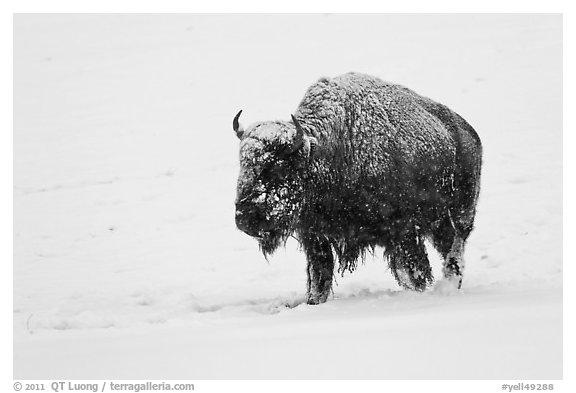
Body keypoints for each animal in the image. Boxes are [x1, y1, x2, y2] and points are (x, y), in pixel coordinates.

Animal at [233, 74, 482, 306]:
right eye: (243, 165)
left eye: (275, 167)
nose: (244, 219)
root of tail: (468, 132)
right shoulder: (315, 236)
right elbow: (319, 276)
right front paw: (313, 301)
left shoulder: (403, 231)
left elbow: (412, 271)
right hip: (441, 223)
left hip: (461, 211)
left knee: (456, 244)